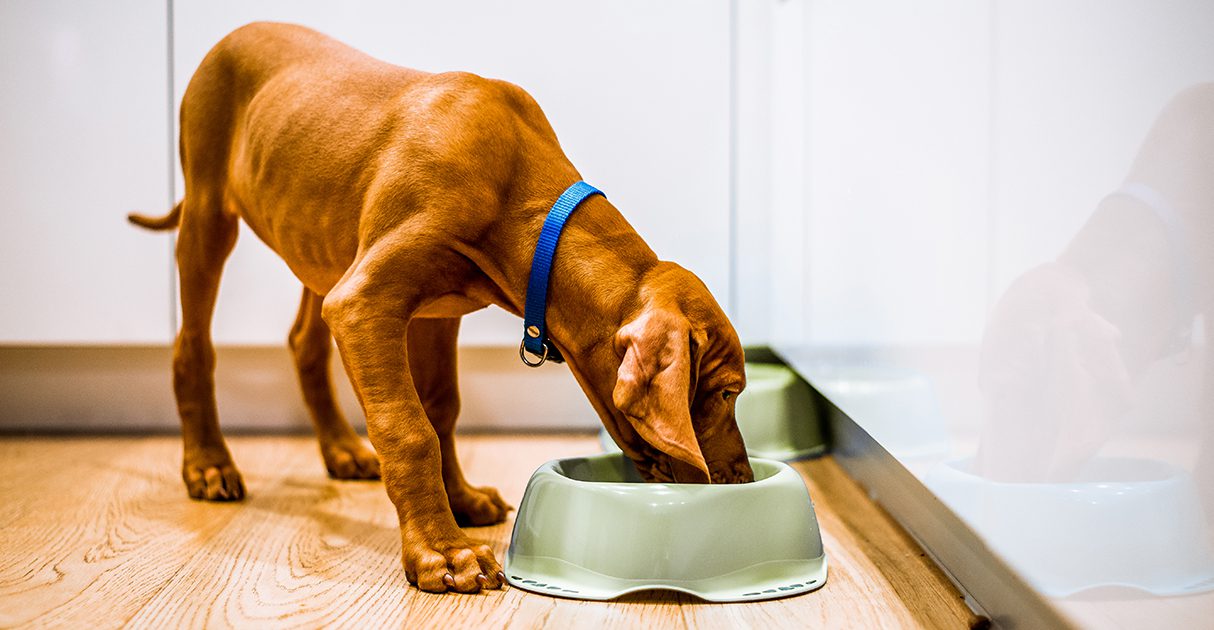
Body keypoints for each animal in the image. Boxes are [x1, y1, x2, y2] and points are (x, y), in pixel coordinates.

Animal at [135, 23, 757, 597]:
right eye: (727, 393)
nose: (743, 478)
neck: (528, 202)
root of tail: (234, 34)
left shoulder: (437, 313)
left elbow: (442, 409)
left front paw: (460, 500)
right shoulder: (363, 304)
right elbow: (410, 429)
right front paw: (442, 553)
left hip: (322, 246)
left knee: (302, 343)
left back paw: (341, 451)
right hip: (209, 215)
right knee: (192, 346)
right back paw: (209, 465)